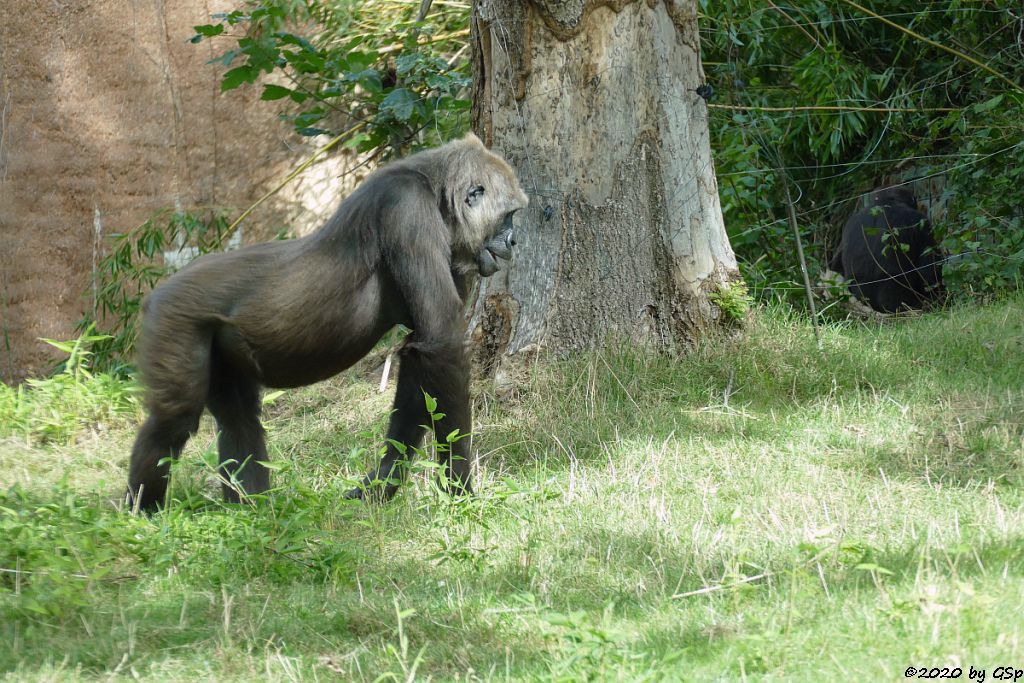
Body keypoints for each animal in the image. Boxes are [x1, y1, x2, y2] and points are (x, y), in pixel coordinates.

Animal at [128, 133, 528, 509]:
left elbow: (421, 357)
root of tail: (155, 295)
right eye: (508, 216)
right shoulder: (407, 208)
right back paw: (143, 513)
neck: (435, 188)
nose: (514, 241)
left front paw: (380, 486)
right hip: (174, 318)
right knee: (171, 422)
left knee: (238, 419)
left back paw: (252, 510)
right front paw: (461, 488)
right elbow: (441, 343)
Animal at [831, 187, 942, 315]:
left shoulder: (849, 224)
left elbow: (836, 266)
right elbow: (930, 268)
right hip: (899, 304)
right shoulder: (919, 221)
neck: (884, 202)